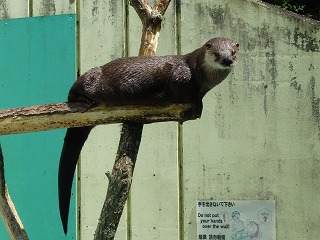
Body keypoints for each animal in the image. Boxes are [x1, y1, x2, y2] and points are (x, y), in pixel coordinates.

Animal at [58, 37, 238, 234]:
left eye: (233, 52)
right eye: (216, 53)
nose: (227, 60)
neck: (201, 76)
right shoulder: (181, 77)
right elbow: (183, 92)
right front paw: (196, 104)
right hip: (89, 78)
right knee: (73, 92)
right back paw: (84, 101)